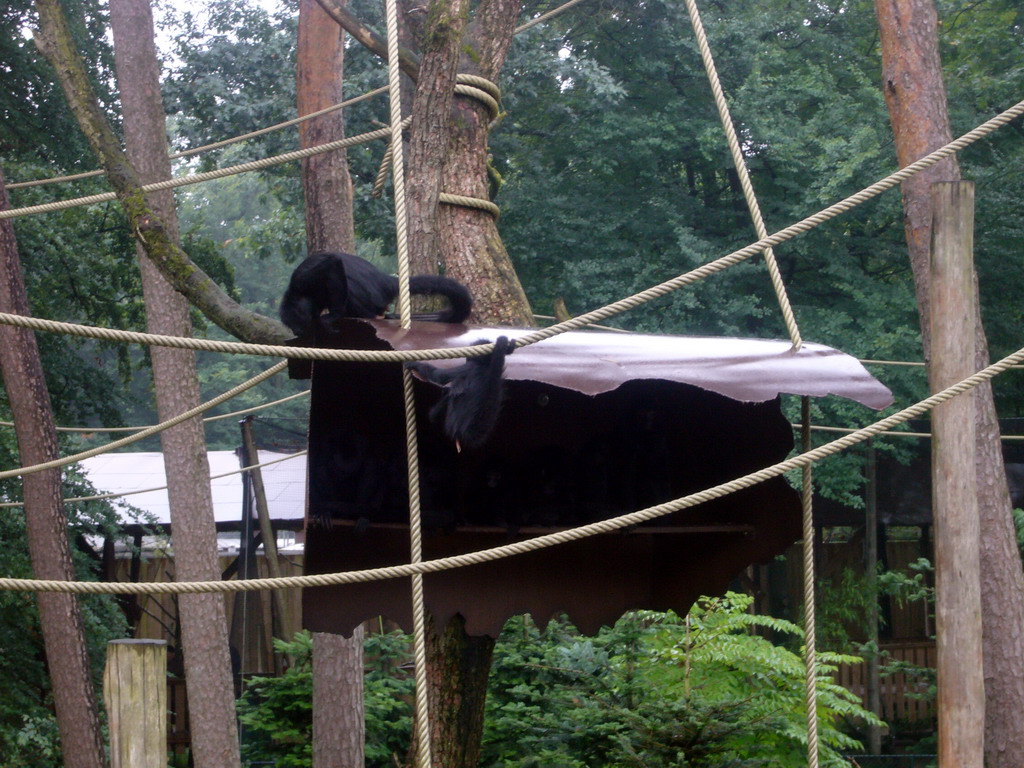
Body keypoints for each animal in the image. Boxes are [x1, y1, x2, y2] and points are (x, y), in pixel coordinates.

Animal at [280, 252, 471, 335]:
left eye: (296, 323)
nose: (297, 331)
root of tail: (385, 281)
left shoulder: (303, 278)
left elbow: (332, 261)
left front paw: (333, 317)